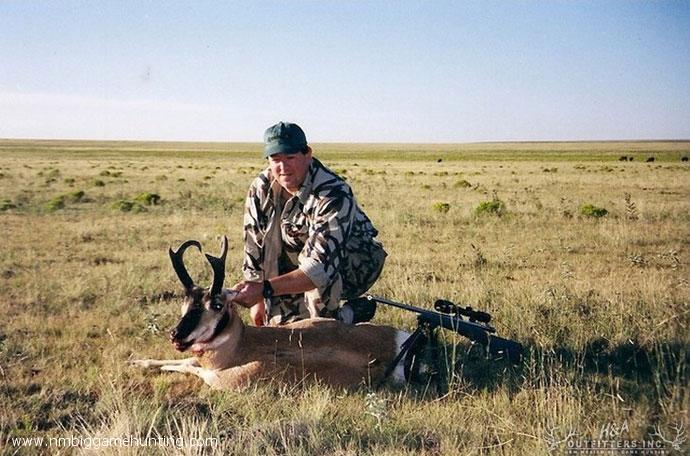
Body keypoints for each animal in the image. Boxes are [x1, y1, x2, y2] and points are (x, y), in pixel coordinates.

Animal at [128, 237, 408, 390]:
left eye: (216, 305)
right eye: (185, 301)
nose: (176, 335)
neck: (241, 343)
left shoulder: (219, 377)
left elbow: (189, 366)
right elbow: (180, 361)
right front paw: (135, 362)